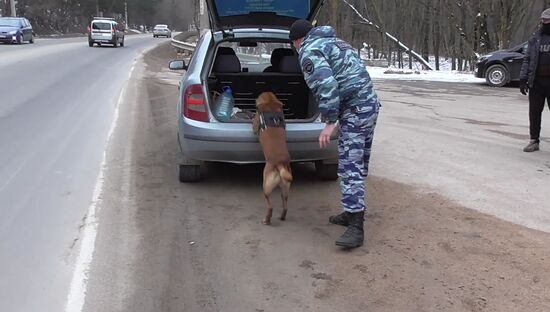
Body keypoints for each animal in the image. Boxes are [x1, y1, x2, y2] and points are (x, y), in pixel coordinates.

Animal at [254, 91, 296, 225]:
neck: (270, 102)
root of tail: (280, 164)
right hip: (285, 189)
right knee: (285, 206)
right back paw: (282, 217)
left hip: (266, 186)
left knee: (270, 206)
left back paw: (266, 220)